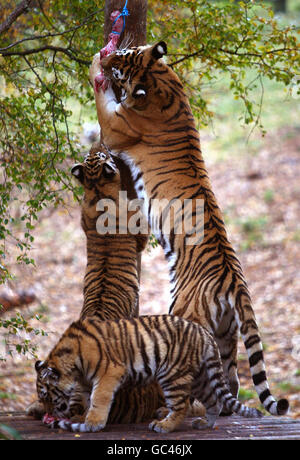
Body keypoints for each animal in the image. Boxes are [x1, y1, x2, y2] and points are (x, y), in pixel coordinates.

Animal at [33, 312, 262, 432]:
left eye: (47, 397)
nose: (48, 414)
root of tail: (204, 332)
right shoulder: (86, 381)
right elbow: (86, 398)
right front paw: (81, 417)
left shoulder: (109, 373)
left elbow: (99, 398)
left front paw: (92, 423)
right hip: (200, 378)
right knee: (214, 400)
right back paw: (205, 423)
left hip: (172, 375)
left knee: (180, 407)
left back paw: (164, 425)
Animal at [88, 41, 288, 416]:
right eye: (127, 51)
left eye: (122, 61)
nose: (110, 56)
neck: (161, 83)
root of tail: (234, 283)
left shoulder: (116, 125)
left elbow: (101, 99)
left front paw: (95, 67)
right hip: (226, 334)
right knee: (230, 380)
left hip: (185, 316)